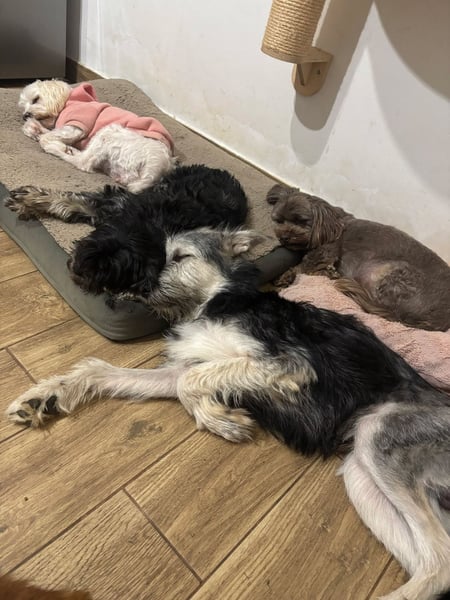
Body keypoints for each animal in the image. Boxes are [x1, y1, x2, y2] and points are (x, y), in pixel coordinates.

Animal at [5, 164, 249, 296]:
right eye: (90, 247)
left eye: (110, 272)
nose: (77, 269)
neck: (146, 228)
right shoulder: (115, 205)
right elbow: (70, 201)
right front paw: (27, 200)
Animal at [6, 227, 450, 600]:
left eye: (181, 256)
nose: (139, 287)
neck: (213, 301)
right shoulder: (186, 365)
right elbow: (110, 371)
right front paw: (44, 396)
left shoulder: (288, 363)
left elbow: (193, 382)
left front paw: (221, 419)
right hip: (362, 474)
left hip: (381, 434)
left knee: (439, 562)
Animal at [18, 80, 176, 193]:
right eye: (23, 107)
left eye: (36, 99)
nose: (25, 115)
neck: (68, 102)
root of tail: (158, 167)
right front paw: (33, 128)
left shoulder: (77, 126)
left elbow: (48, 137)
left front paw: (49, 140)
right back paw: (70, 149)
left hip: (108, 132)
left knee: (83, 163)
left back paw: (57, 149)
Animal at [267, 184, 450, 331]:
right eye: (279, 220)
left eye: (301, 221)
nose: (285, 237)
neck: (330, 223)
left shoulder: (326, 251)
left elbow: (305, 265)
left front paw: (285, 275)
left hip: (390, 272)